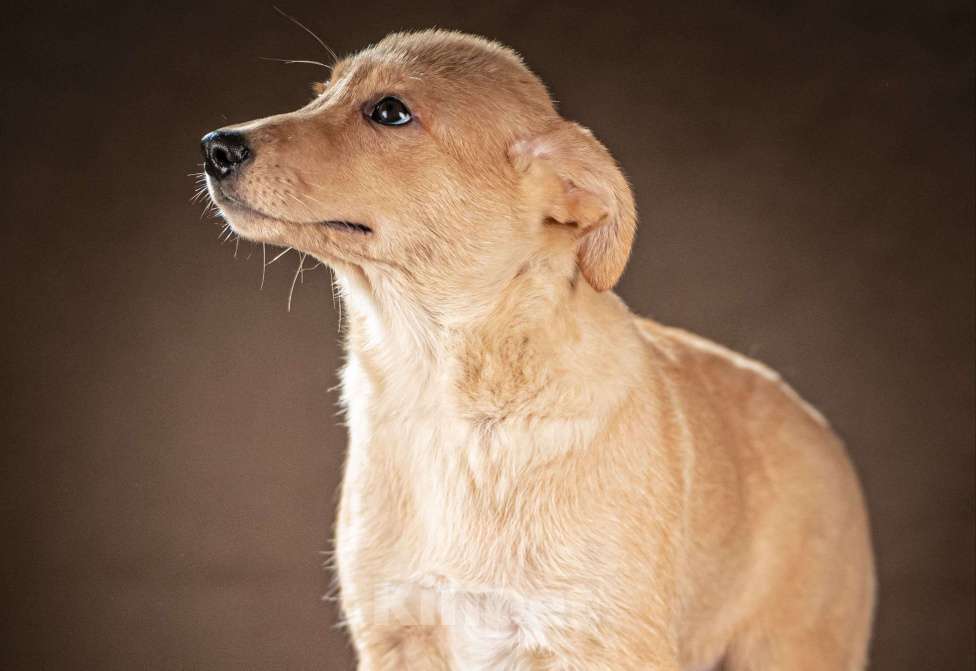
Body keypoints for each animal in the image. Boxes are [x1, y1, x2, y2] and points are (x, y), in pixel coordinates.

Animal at [202, 30, 875, 670]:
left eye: (389, 112)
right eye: (320, 93)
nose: (216, 147)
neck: (444, 393)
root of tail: (818, 425)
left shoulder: (603, 642)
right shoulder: (395, 633)